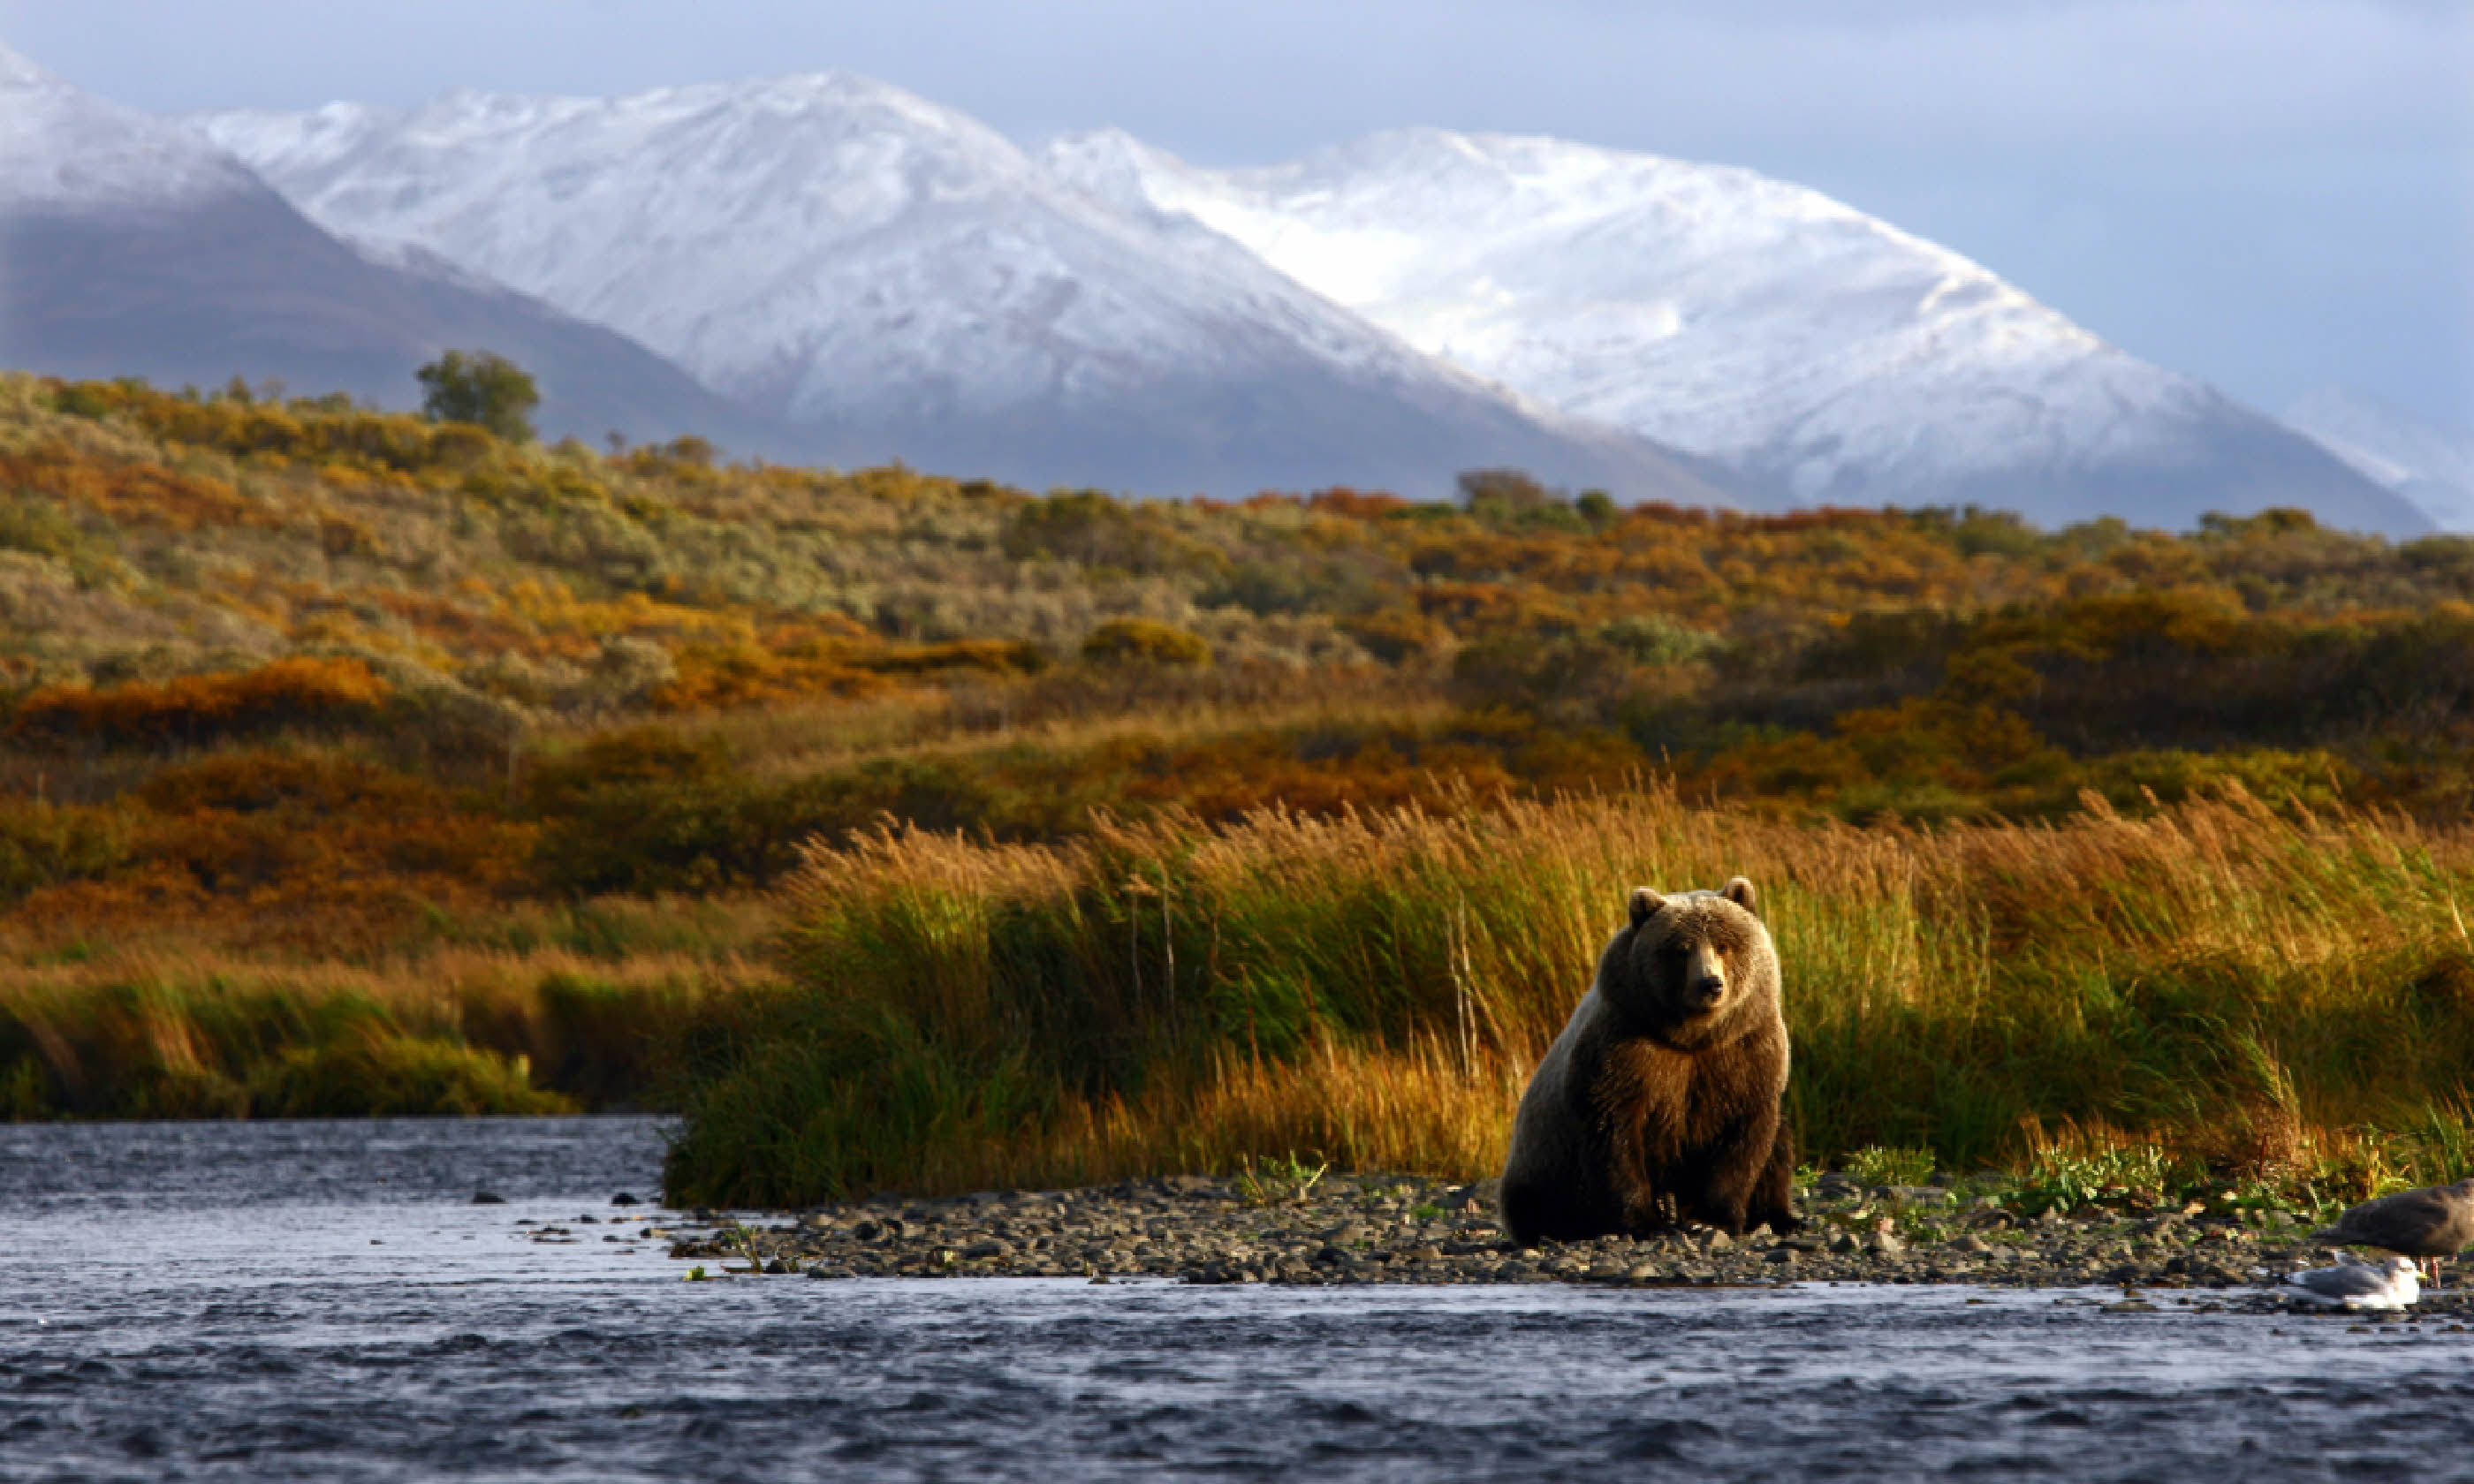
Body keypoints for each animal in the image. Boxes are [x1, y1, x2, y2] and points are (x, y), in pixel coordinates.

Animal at [1484, 875, 1801, 1246]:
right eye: (1681, 949)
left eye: (1724, 944)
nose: (1710, 984)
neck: (1693, 1037)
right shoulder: (1626, 1049)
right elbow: (1616, 1137)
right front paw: (1646, 1222)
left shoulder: (1744, 1051)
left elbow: (1743, 1140)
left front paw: (1712, 1219)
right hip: (1542, 1162)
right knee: (1539, 1203)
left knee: (1780, 1147)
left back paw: (1783, 1219)